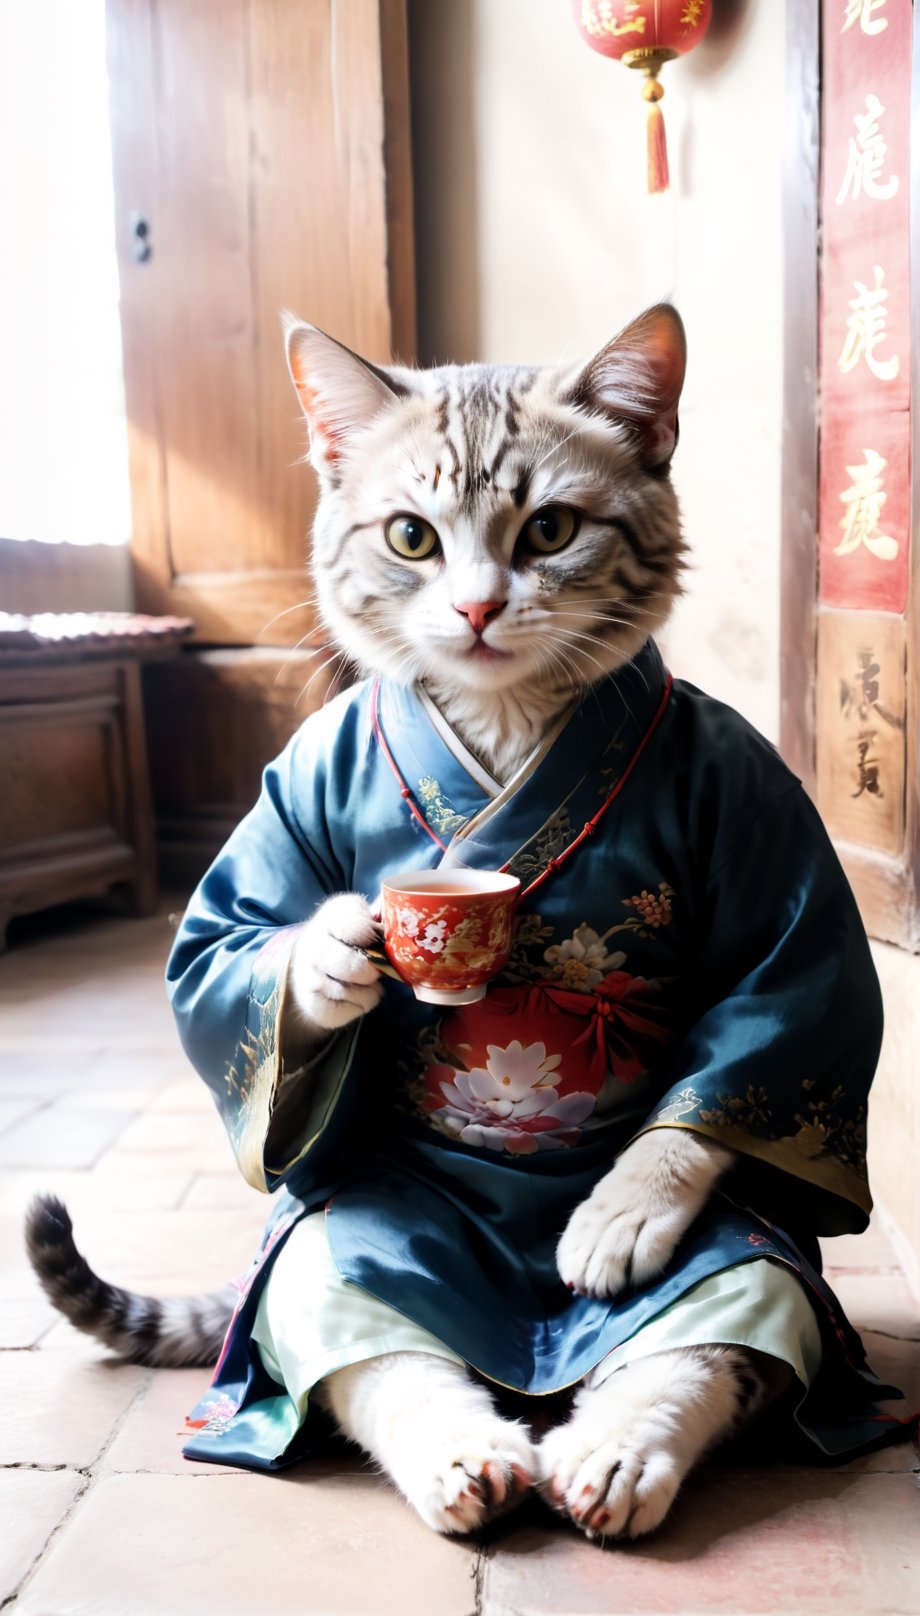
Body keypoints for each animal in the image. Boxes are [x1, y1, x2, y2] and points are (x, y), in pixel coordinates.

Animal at [28, 305, 795, 1538]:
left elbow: (764, 1026)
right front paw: (327, 965)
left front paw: (620, 1209)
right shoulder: (289, 789)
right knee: (343, 1318)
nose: (477, 606)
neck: (504, 709)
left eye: (549, 529)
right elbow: (221, 946)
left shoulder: (758, 816)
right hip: (348, 1225)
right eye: (410, 537)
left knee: (734, 1305)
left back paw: (614, 1451)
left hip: (738, 1252)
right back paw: (466, 1455)